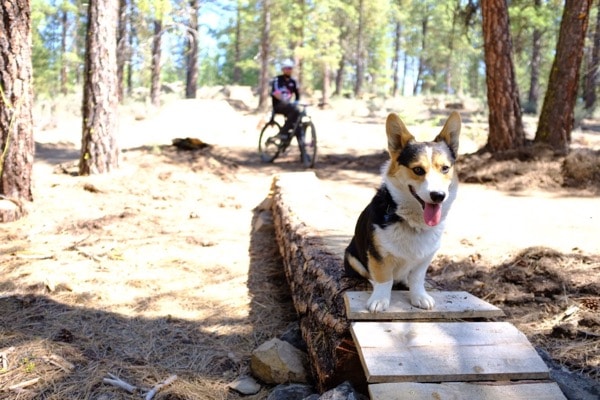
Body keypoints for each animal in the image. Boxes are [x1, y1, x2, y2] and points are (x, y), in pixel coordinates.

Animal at [342, 111, 460, 312]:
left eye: (445, 168)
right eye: (418, 170)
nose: (438, 196)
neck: (411, 221)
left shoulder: (425, 258)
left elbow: (417, 279)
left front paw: (419, 297)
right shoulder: (378, 255)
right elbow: (384, 279)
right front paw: (379, 300)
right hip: (351, 256)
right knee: (370, 275)